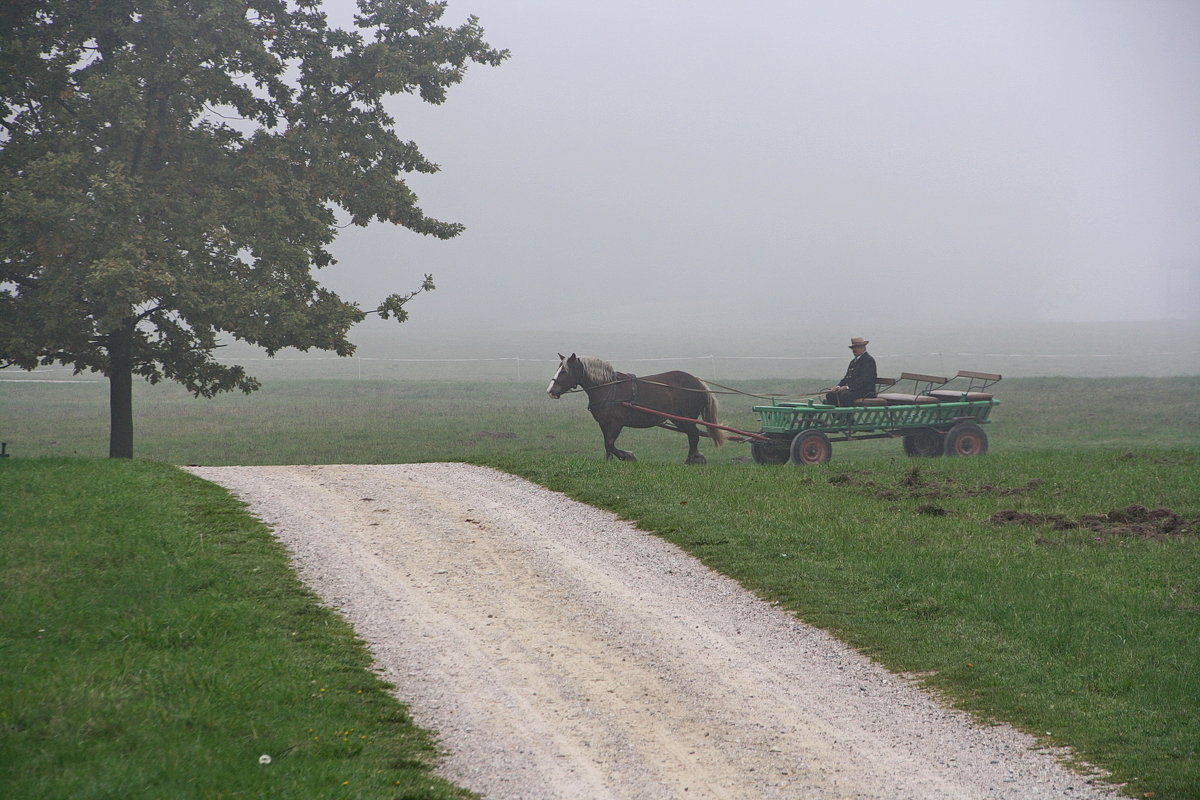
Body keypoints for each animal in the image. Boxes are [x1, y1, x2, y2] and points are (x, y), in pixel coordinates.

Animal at [549, 355, 724, 465]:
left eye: (564, 371)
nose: (550, 391)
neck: (608, 388)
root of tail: (698, 382)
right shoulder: (604, 424)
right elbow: (607, 444)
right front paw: (608, 461)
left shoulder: (616, 423)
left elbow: (611, 444)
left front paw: (628, 456)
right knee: (693, 435)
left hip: (683, 418)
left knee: (693, 436)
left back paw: (691, 460)